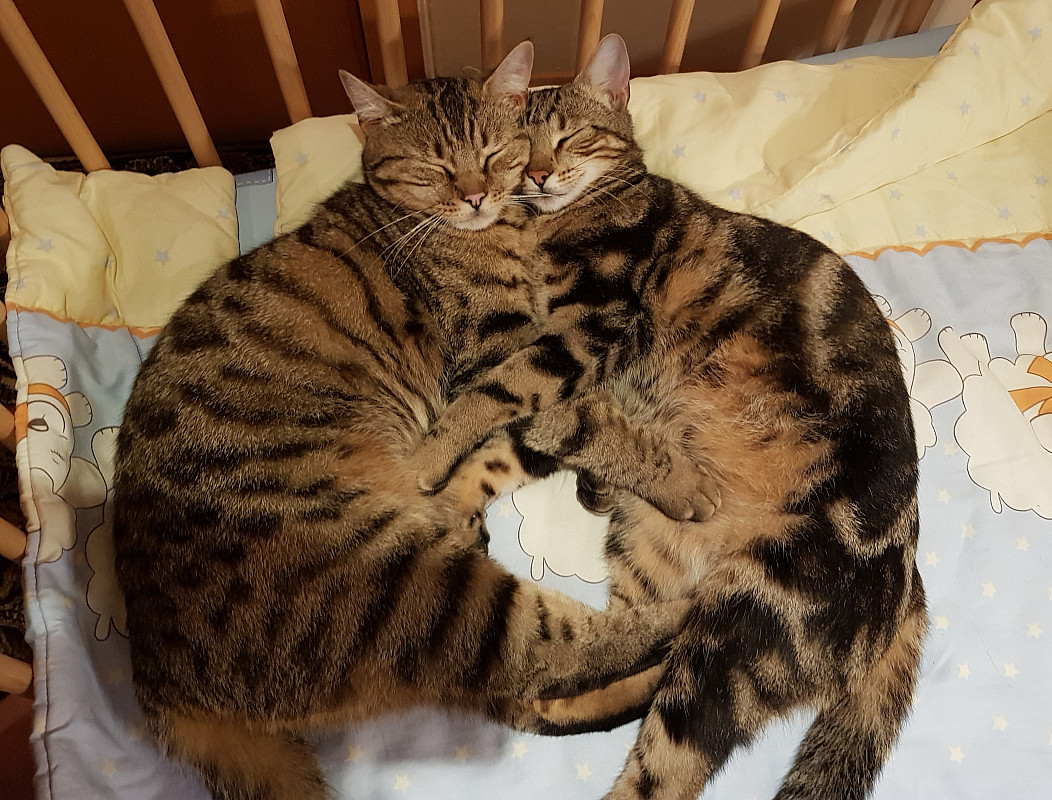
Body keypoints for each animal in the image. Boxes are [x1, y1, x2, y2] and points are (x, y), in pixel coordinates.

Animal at [112, 43, 702, 800]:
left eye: (495, 151)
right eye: (432, 168)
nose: (477, 195)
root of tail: (157, 682)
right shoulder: (510, 349)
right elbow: (588, 419)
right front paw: (682, 481)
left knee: (529, 697)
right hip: (415, 589)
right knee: (549, 654)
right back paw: (691, 614)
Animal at [414, 34, 928, 800]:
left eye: (567, 135)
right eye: (515, 148)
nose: (538, 174)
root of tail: (908, 582)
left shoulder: (587, 333)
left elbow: (529, 410)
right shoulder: (564, 375)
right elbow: (527, 437)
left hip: (745, 628)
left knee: (666, 762)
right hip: (646, 559)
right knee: (586, 664)